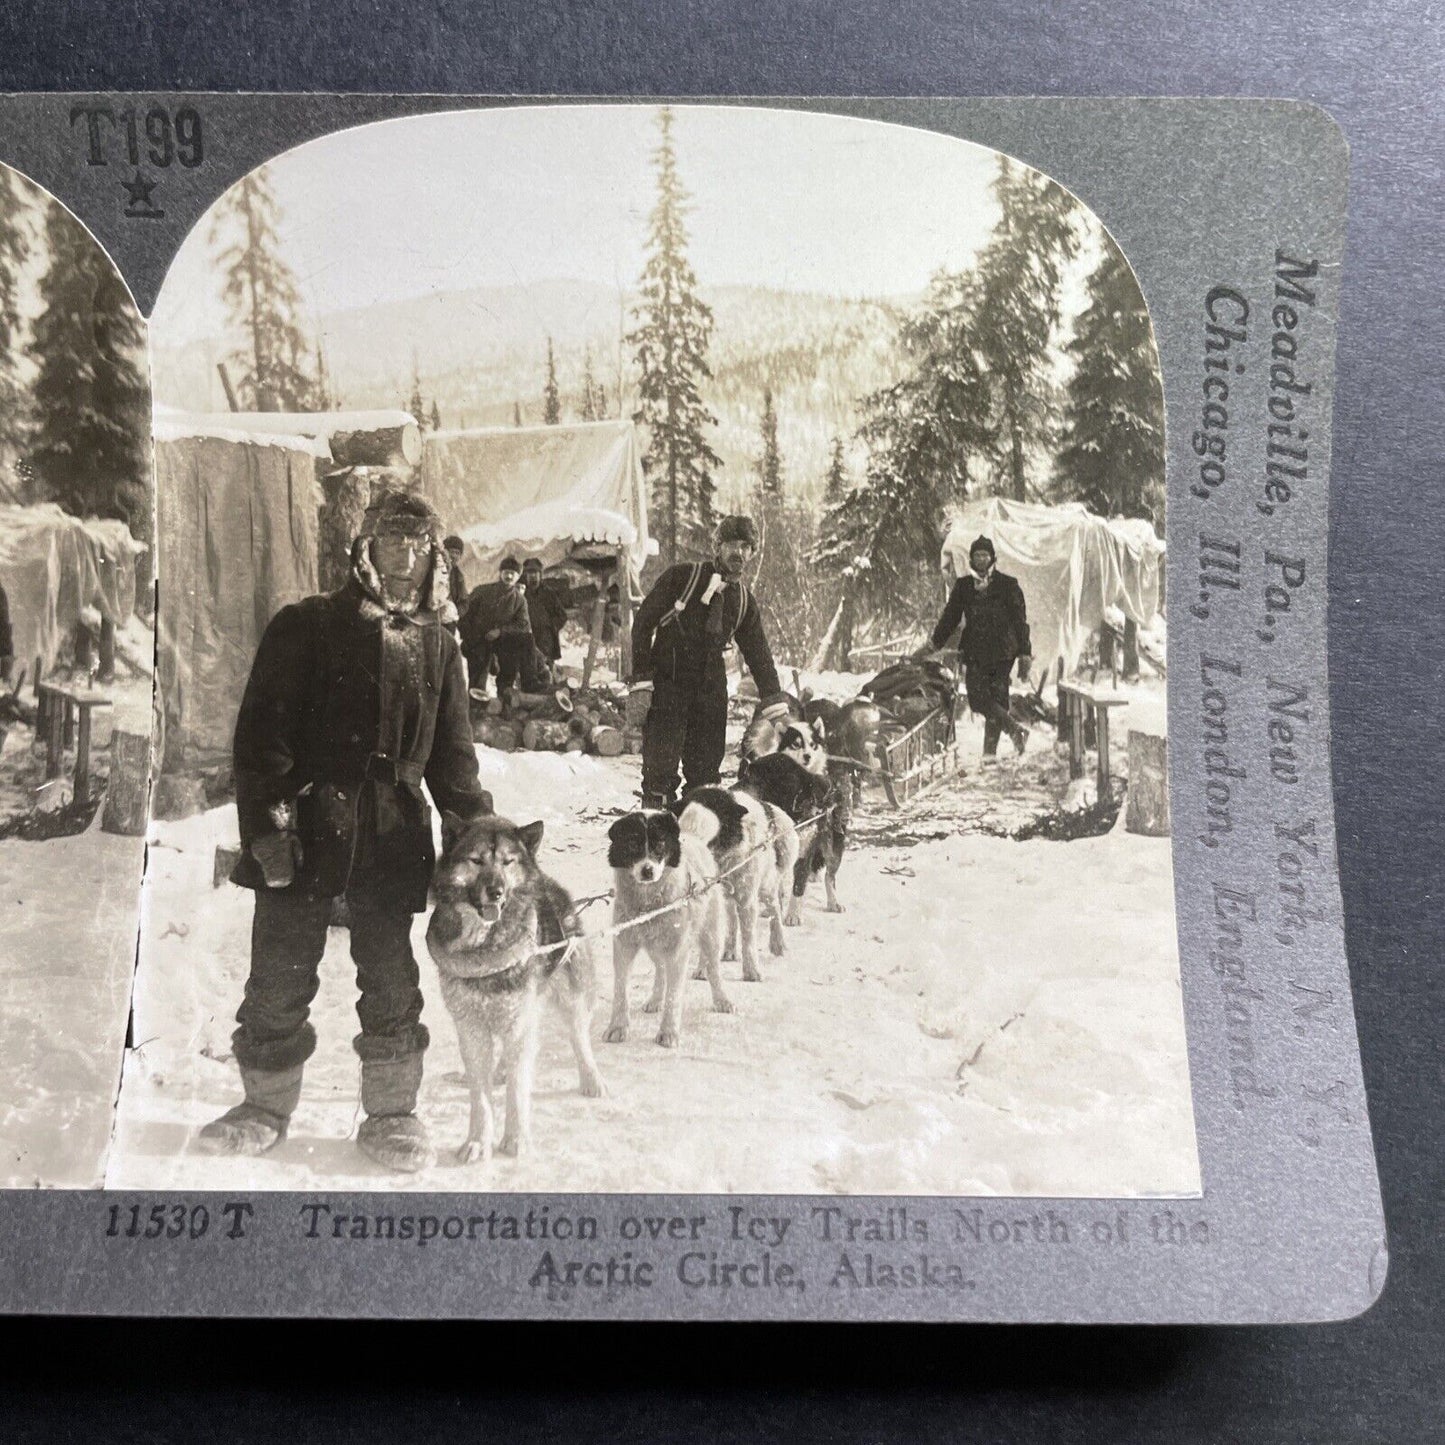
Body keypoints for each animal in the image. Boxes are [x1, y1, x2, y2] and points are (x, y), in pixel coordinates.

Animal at [427, 814, 609, 1161]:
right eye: (476, 860)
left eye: (507, 861)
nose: (496, 891)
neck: (485, 947)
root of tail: (549, 882)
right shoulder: (471, 1030)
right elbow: (480, 1097)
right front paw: (477, 1141)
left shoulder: (519, 1021)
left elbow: (517, 1089)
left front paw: (516, 1140)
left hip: (570, 997)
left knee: (579, 1038)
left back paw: (592, 1079)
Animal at [604, 803, 734, 1051]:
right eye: (633, 843)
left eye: (660, 844)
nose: (647, 871)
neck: (648, 904)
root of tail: (692, 836)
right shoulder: (624, 947)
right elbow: (620, 991)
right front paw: (618, 1027)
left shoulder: (677, 951)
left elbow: (674, 997)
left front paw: (668, 1032)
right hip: (656, 946)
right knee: (660, 970)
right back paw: (655, 1000)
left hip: (710, 935)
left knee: (713, 969)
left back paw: (722, 1000)